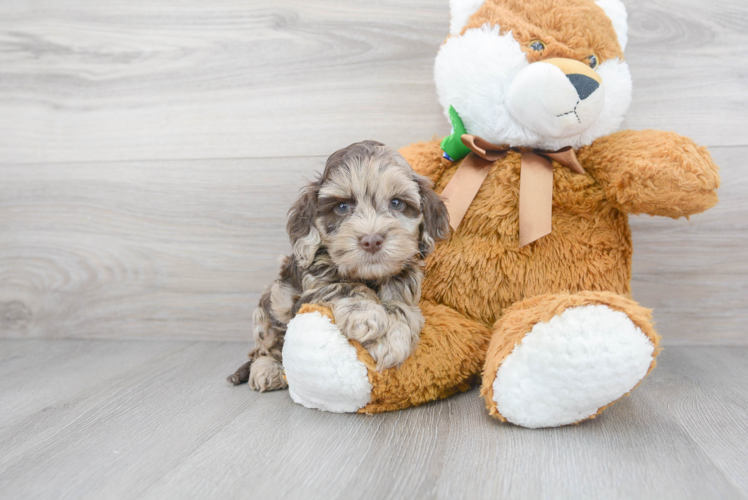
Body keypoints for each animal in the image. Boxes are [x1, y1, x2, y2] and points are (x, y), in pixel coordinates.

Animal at [226, 141, 450, 390]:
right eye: (342, 207)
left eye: (396, 203)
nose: (372, 240)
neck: (369, 276)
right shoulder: (307, 289)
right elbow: (343, 286)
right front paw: (366, 316)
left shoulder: (404, 281)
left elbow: (399, 305)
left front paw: (391, 337)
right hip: (269, 305)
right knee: (264, 347)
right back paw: (266, 369)